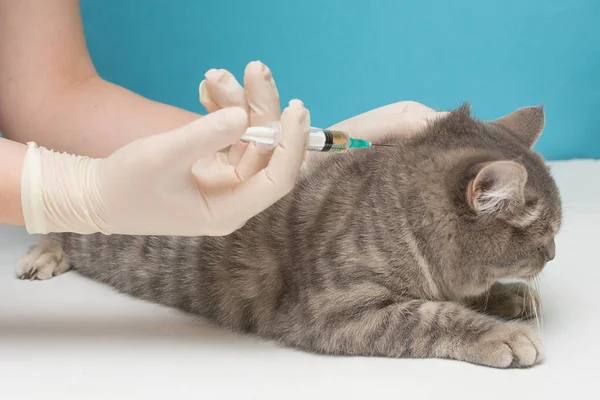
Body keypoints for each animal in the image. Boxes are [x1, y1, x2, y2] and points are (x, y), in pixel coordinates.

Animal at [18, 104, 564, 368]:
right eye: (546, 237)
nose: (555, 253)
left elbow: (466, 295)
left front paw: (508, 297)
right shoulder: (335, 310)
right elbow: (430, 316)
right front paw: (499, 332)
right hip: (98, 212)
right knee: (59, 217)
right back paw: (42, 253)